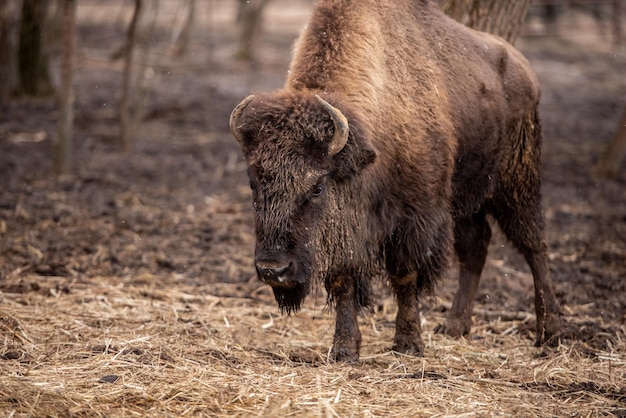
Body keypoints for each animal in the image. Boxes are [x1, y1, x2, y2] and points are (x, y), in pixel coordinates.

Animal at [228, 0, 560, 362]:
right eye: (253, 183)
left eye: (316, 187)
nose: (273, 269)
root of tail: (526, 71)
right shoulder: (346, 230)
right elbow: (343, 281)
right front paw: (344, 348)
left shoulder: (415, 217)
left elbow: (406, 276)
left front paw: (409, 343)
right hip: (464, 198)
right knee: (476, 245)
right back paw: (455, 326)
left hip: (517, 182)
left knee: (534, 245)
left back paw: (549, 332)